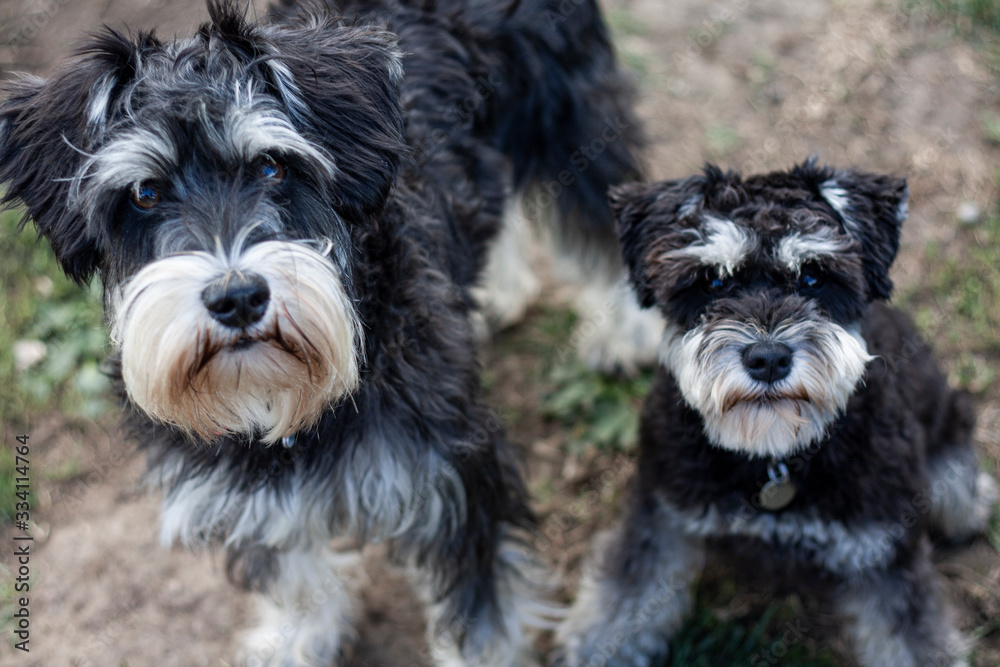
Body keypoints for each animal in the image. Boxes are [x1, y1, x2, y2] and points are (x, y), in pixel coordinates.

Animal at [0, 2, 644, 664]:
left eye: (271, 164)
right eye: (145, 193)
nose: (237, 298)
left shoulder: (454, 479)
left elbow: (481, 613)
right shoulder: (250, 491)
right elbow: (293, 577)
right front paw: (294, 640)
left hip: (567, 115)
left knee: (603, 222)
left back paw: (627, 334)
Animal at [560, 162, 996, 667]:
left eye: (813, 276)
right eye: (712, 281)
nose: (768, 359)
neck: (773, 457)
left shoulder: (884, 550)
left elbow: (911, 639)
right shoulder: (661, 514)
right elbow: (626, 598)